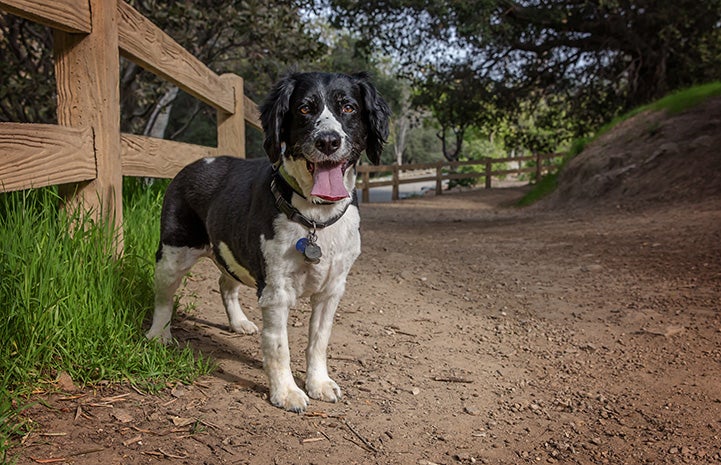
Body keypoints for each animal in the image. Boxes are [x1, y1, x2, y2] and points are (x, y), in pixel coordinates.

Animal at [146, 71, 390, 410]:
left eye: (349, 108)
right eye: (304, 109)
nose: (328, 141)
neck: (316, 217)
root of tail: (198, 162)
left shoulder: (331, 290)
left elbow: (319, 340)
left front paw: (318, 382)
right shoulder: (277, 291)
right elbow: (278, 347)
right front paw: (286, 392)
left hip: (231, 251)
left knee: (225, 284)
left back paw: (238, 322)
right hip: (172, 254)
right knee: (164, 298)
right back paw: (158, 335)